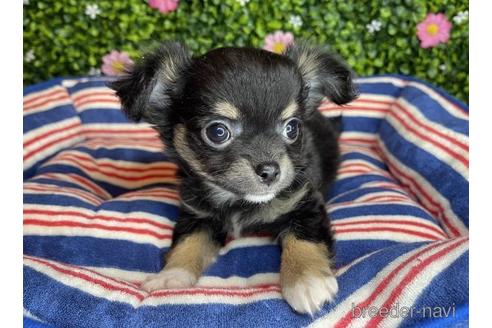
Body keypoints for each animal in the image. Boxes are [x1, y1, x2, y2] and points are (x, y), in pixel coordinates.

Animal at [109, 41, 358, 316]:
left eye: (292, 128)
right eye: (218, 132)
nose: (270, 171)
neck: (239, 201)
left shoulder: (305, 203)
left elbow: (305, 238)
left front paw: (307, 281)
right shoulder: (197, 215)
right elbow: (188, 243)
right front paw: (170, 276)